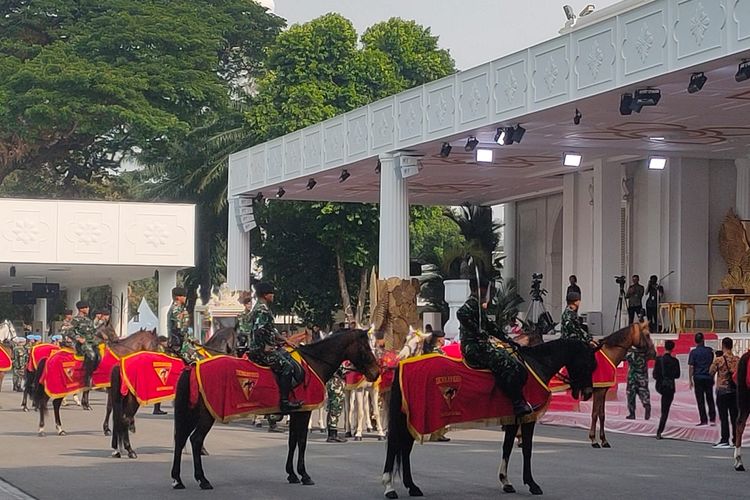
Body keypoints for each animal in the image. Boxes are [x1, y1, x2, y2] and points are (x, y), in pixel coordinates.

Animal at [108, 326, 241, 458]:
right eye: (238, 342)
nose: (237, 358)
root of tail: (120, 364)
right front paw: (201, 449)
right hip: (133, 400)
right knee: (125, 419)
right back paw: (129, 450)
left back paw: (117, 449)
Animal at [171, 330, 382, 490]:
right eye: (366, 348)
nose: (376, 372)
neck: (313, 363)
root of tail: (194, 366)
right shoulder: (304, 413)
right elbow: (302, 442)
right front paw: (304, 475)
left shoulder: (296, 413)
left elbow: (292, 442)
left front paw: (292, 474)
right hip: (206, 415)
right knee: (195, 440)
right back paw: (202, 479)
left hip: (192, 413)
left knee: (180, 440)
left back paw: (177, 479)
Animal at [382, 338, 600, 498]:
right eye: (588, 363)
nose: (588, 393)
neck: (535, 366)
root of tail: (401, 365)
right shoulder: (528, 417)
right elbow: (527, 449)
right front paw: (532, 483)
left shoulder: (512, 418)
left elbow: (507, 447)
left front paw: (506, 481)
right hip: (413, 418)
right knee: (396, 447)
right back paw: (390, 488)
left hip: (408, 420)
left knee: (404, 449)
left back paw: (411, 487)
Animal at [592, 320, 656, 450]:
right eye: (647, 335)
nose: (654, 353)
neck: (607, 354)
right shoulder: (598, 391)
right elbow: (595, 414)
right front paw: (594, 440)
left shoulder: (602, 391)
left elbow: (602, 414)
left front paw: (604, 440)